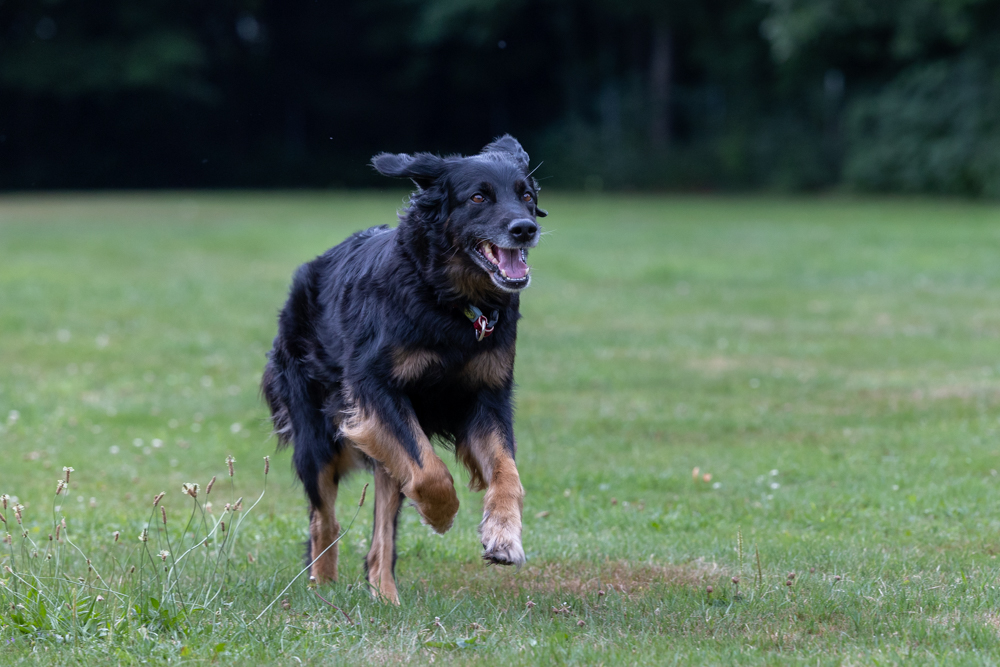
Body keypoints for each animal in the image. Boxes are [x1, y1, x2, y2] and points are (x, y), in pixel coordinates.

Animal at [261, 135, 546, 603]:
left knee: (381, 534)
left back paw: (385, 594)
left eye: (526, 196)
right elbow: (430, 473)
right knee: (325, 519)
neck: (448, 303)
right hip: (316, 435)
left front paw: (503, 535)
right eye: (478, 197)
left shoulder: (487, 397)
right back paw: (323, 585)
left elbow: (508, 473)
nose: (525, 228)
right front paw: (442, 513)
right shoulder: (375, 389)